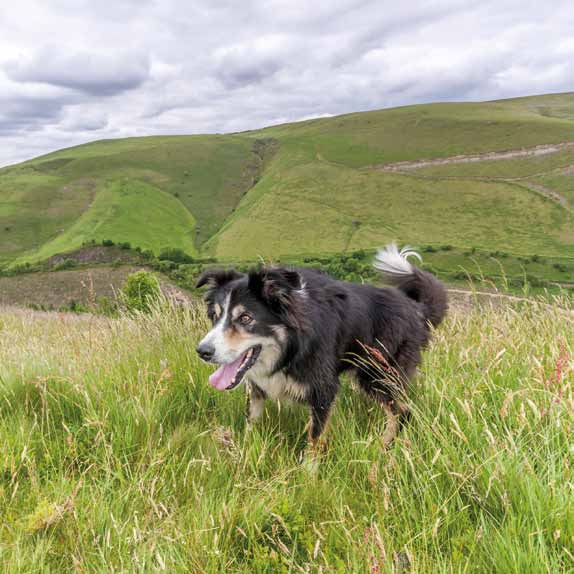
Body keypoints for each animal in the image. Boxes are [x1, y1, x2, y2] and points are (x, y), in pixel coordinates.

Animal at [196, 245, 448, 456]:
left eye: (246, 318)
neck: (291, 348)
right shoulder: (256, 388)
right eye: (215, 316)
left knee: (402, 412)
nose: (202, 351)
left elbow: (314, 439)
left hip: (376, 374)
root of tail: (418, 309)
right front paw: (244, 455)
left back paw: (379, 450)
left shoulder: (324, 390)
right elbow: (251, 423)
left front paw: (308, 475)